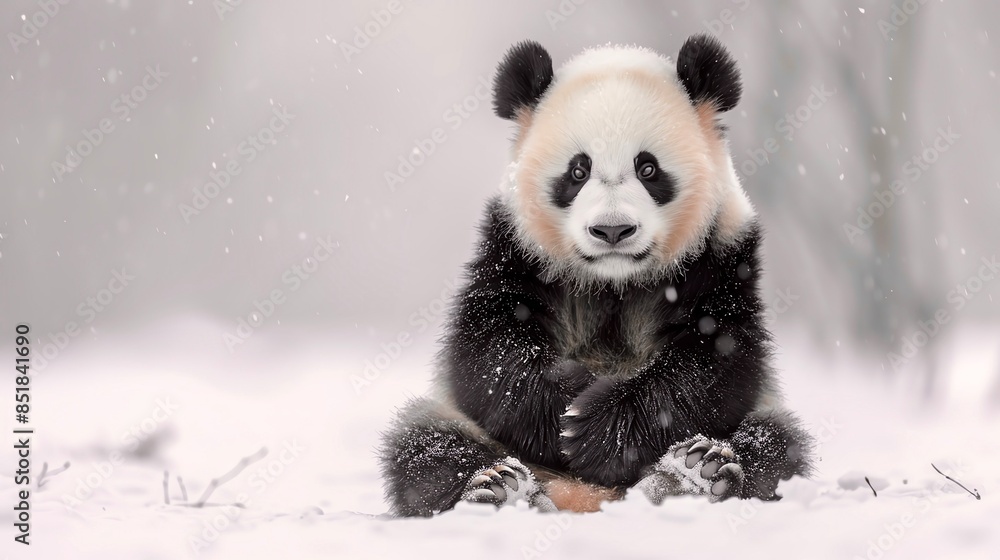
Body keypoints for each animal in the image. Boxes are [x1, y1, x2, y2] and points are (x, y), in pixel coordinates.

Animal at [379, 34, 813, 517]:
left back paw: (693, 475)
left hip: (766, 414)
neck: (613, 281)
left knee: (776, 444)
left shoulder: (721, 256)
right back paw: (500, 488)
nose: (612, 230)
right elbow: (487, 351)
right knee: (424, 447)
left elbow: (717, 362)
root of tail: (579, 496)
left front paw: (596, 427)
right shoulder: (511, 250)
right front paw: (564, 411)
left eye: (648, 168)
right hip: (449, 418)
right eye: (577, 170)